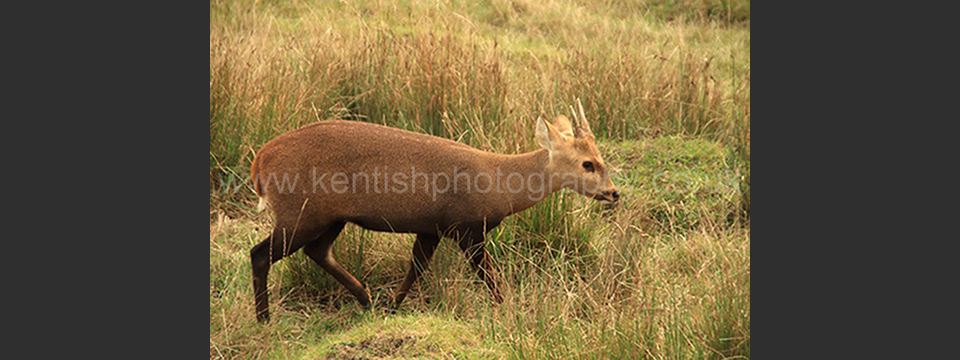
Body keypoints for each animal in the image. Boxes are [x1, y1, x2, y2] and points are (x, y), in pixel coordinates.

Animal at [249, 100, 624, 322]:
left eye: (600, 157)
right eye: (588, 163)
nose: (613, 193)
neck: (500, 181)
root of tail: (261, 160)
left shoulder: (431, 228)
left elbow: (416, 268)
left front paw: (393, 306)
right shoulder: (467, 227)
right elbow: (489, 276)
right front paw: (507, 311)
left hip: (328, 218)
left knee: (318, 251)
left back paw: (366, 298)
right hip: (300, 213)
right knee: (260, 254)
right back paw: (264, 319)